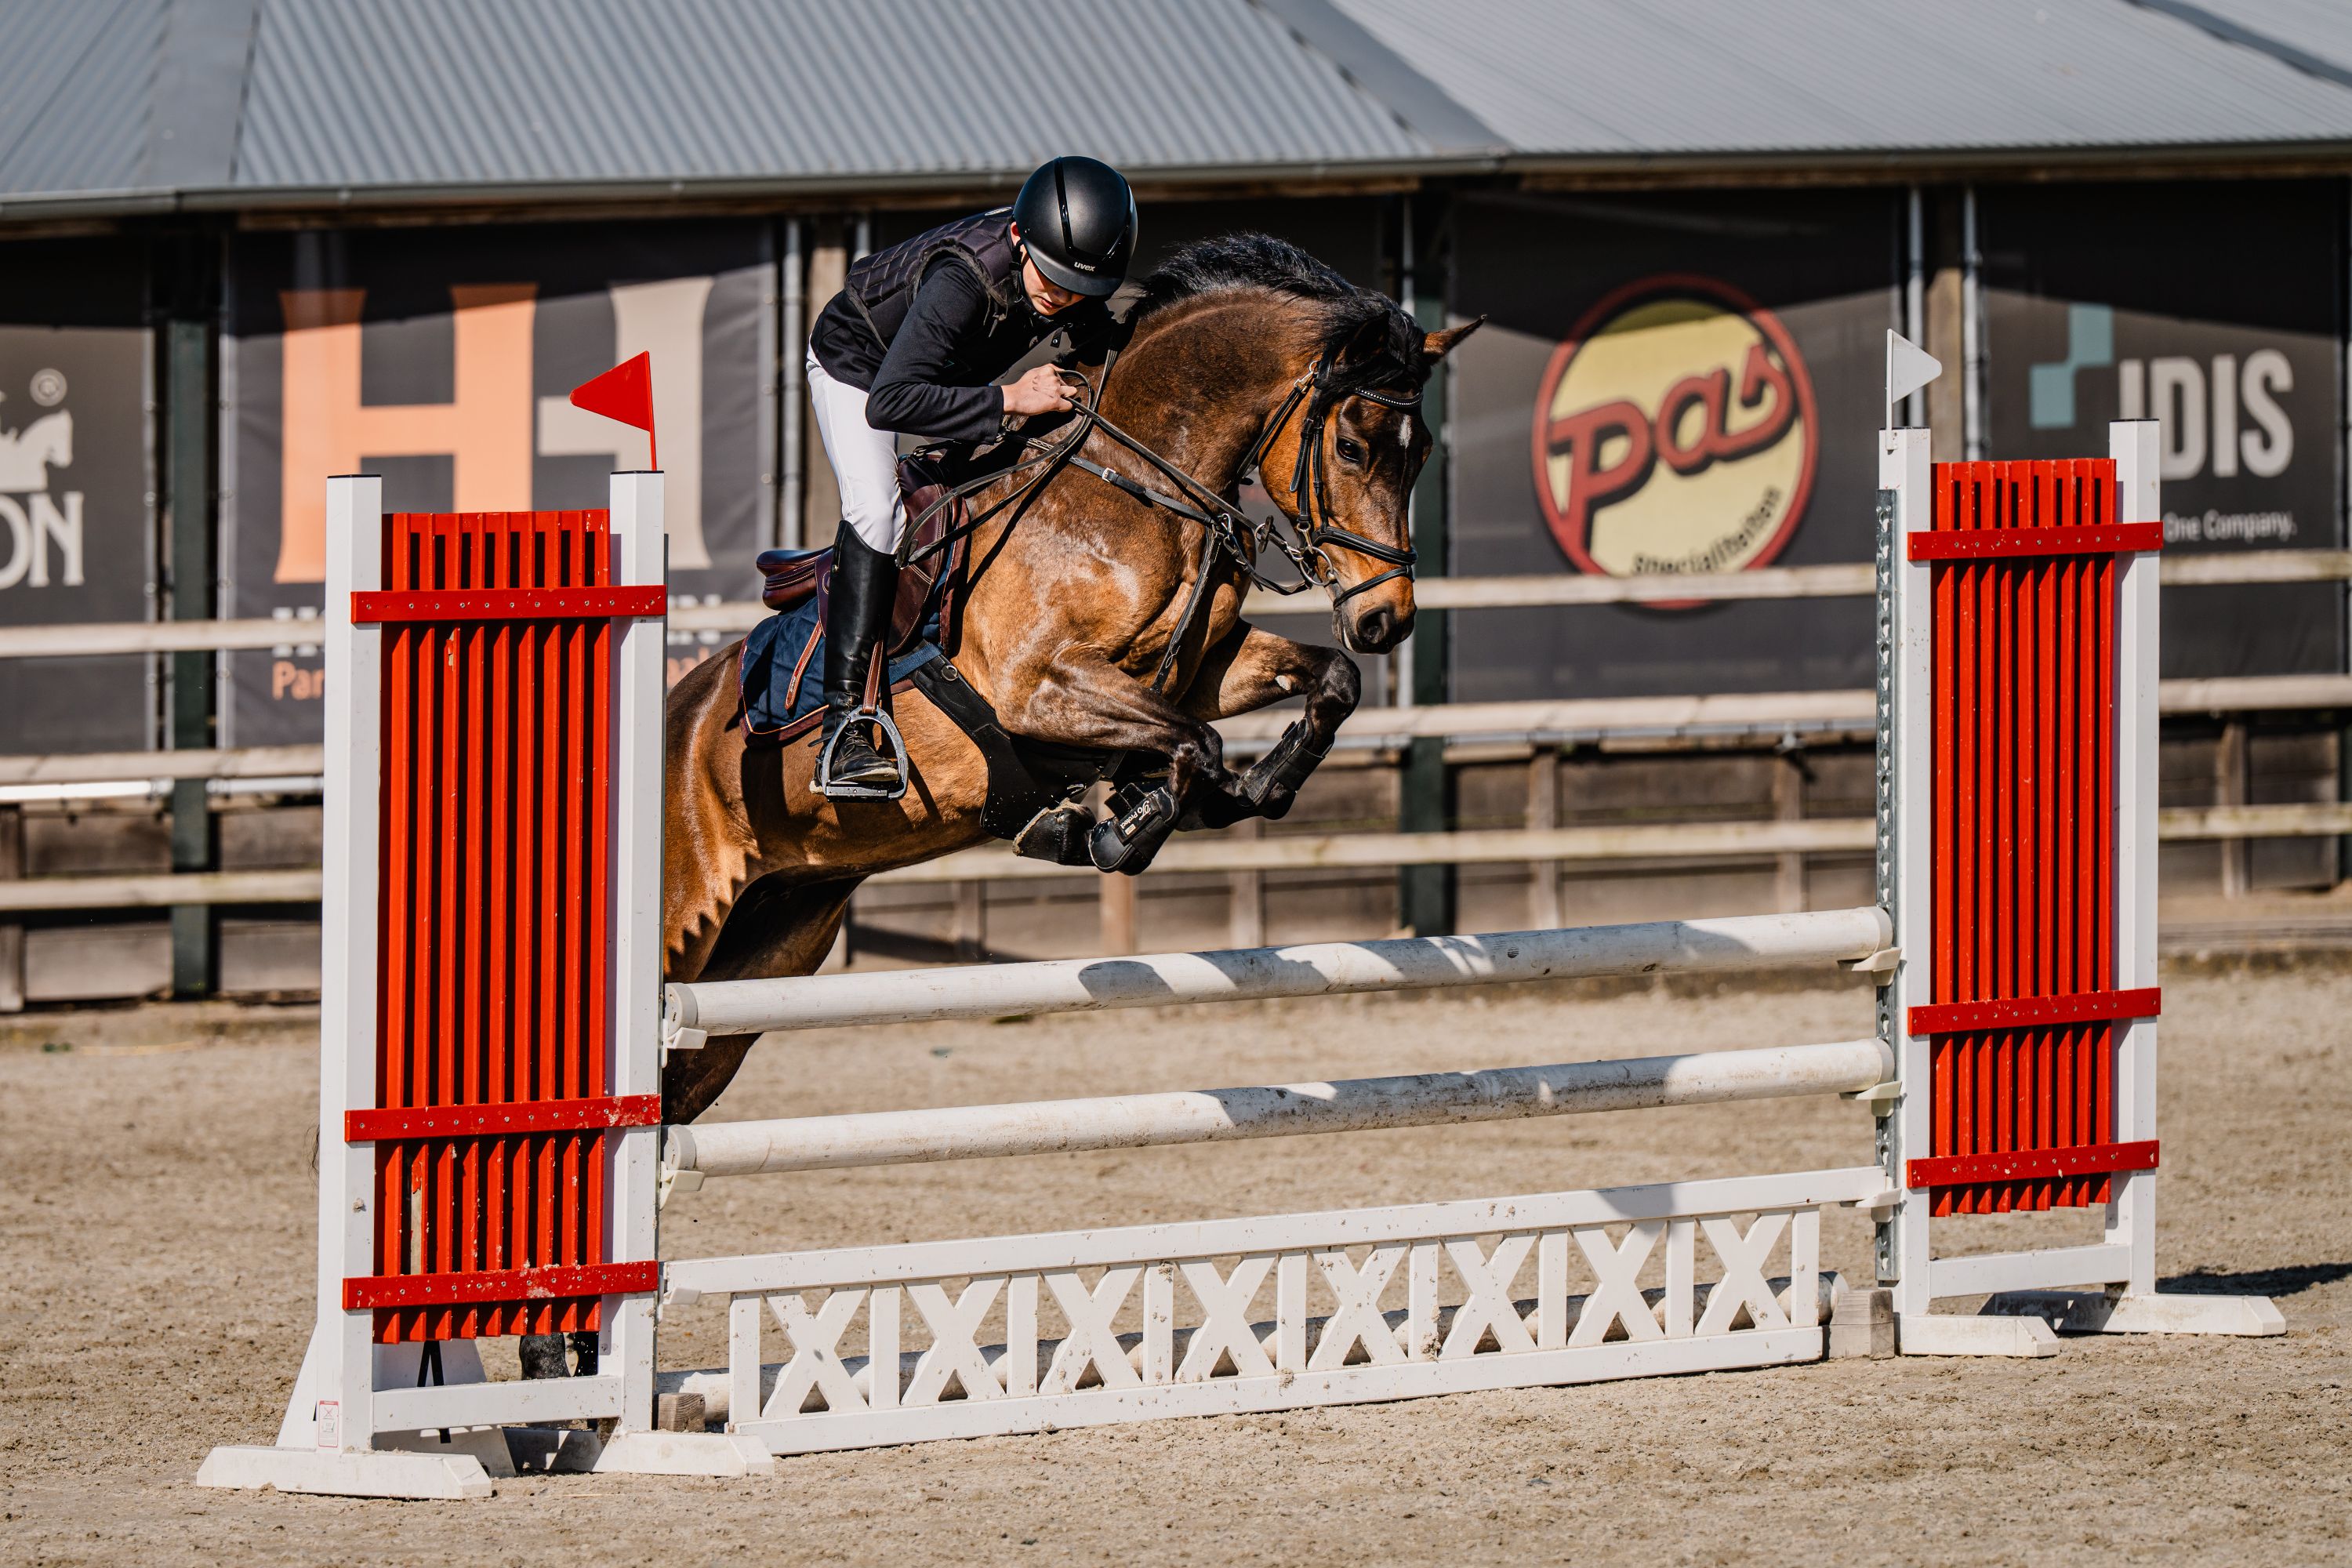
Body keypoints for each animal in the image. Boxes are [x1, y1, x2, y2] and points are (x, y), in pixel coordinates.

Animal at [659, 233, 1479, 1124]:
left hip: (775, 934)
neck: (1140, 489)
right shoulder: (1037, 688)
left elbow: (1327, 683)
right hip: (683, 920)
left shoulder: (1198, 666)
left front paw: (1253, 790)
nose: (1386, 620)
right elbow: (1195, 743)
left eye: (1425, 453)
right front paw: (1120, 825)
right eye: (1353, 447)